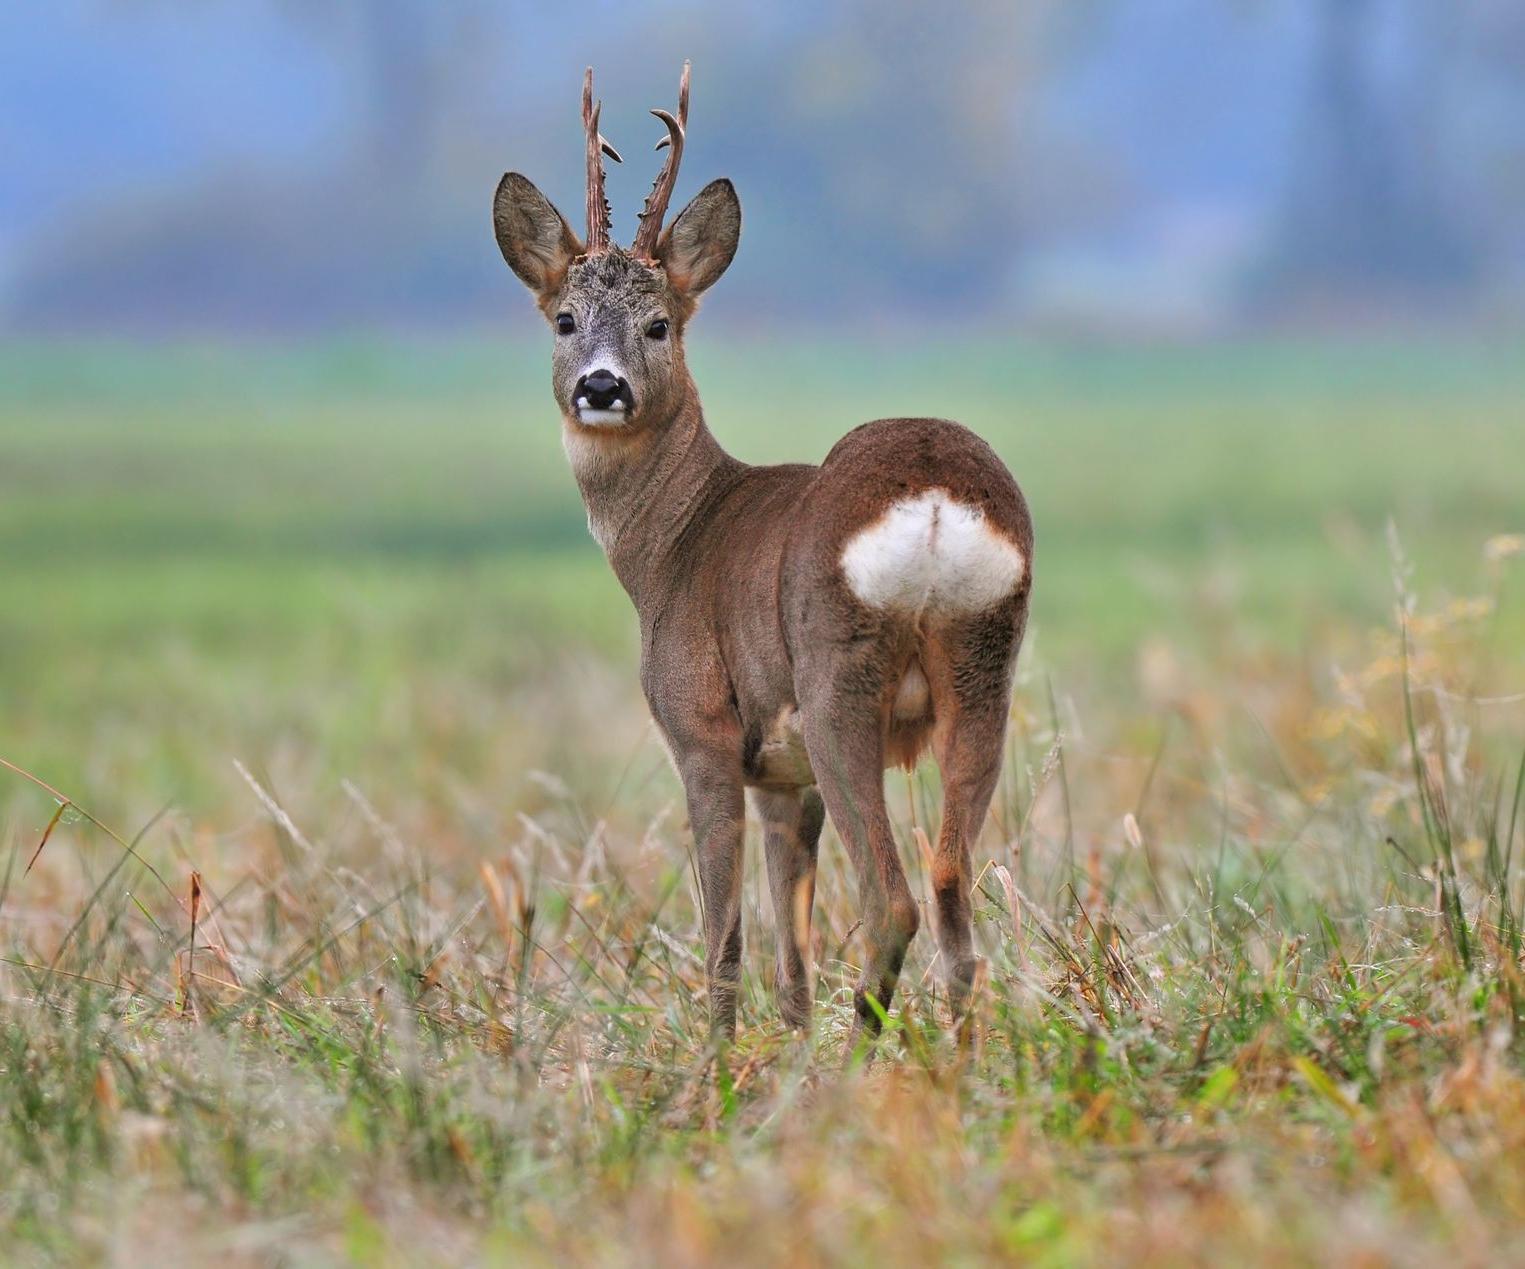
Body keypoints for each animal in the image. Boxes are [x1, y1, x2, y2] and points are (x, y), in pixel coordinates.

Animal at [497, 64, 1037, 1043]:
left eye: (659, 323)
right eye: (563, 318)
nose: (602, 386)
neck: (673, 543)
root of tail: (936, 501)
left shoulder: (703, 732)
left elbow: (724, 937)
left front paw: (719, 1062)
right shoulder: (786, 779)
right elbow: (791, 953)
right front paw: (785, 1053)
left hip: (836, 681)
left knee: (893, 899)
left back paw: (865, 1054)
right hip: (984, 670)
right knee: (951, 888)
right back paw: (962, 1058)